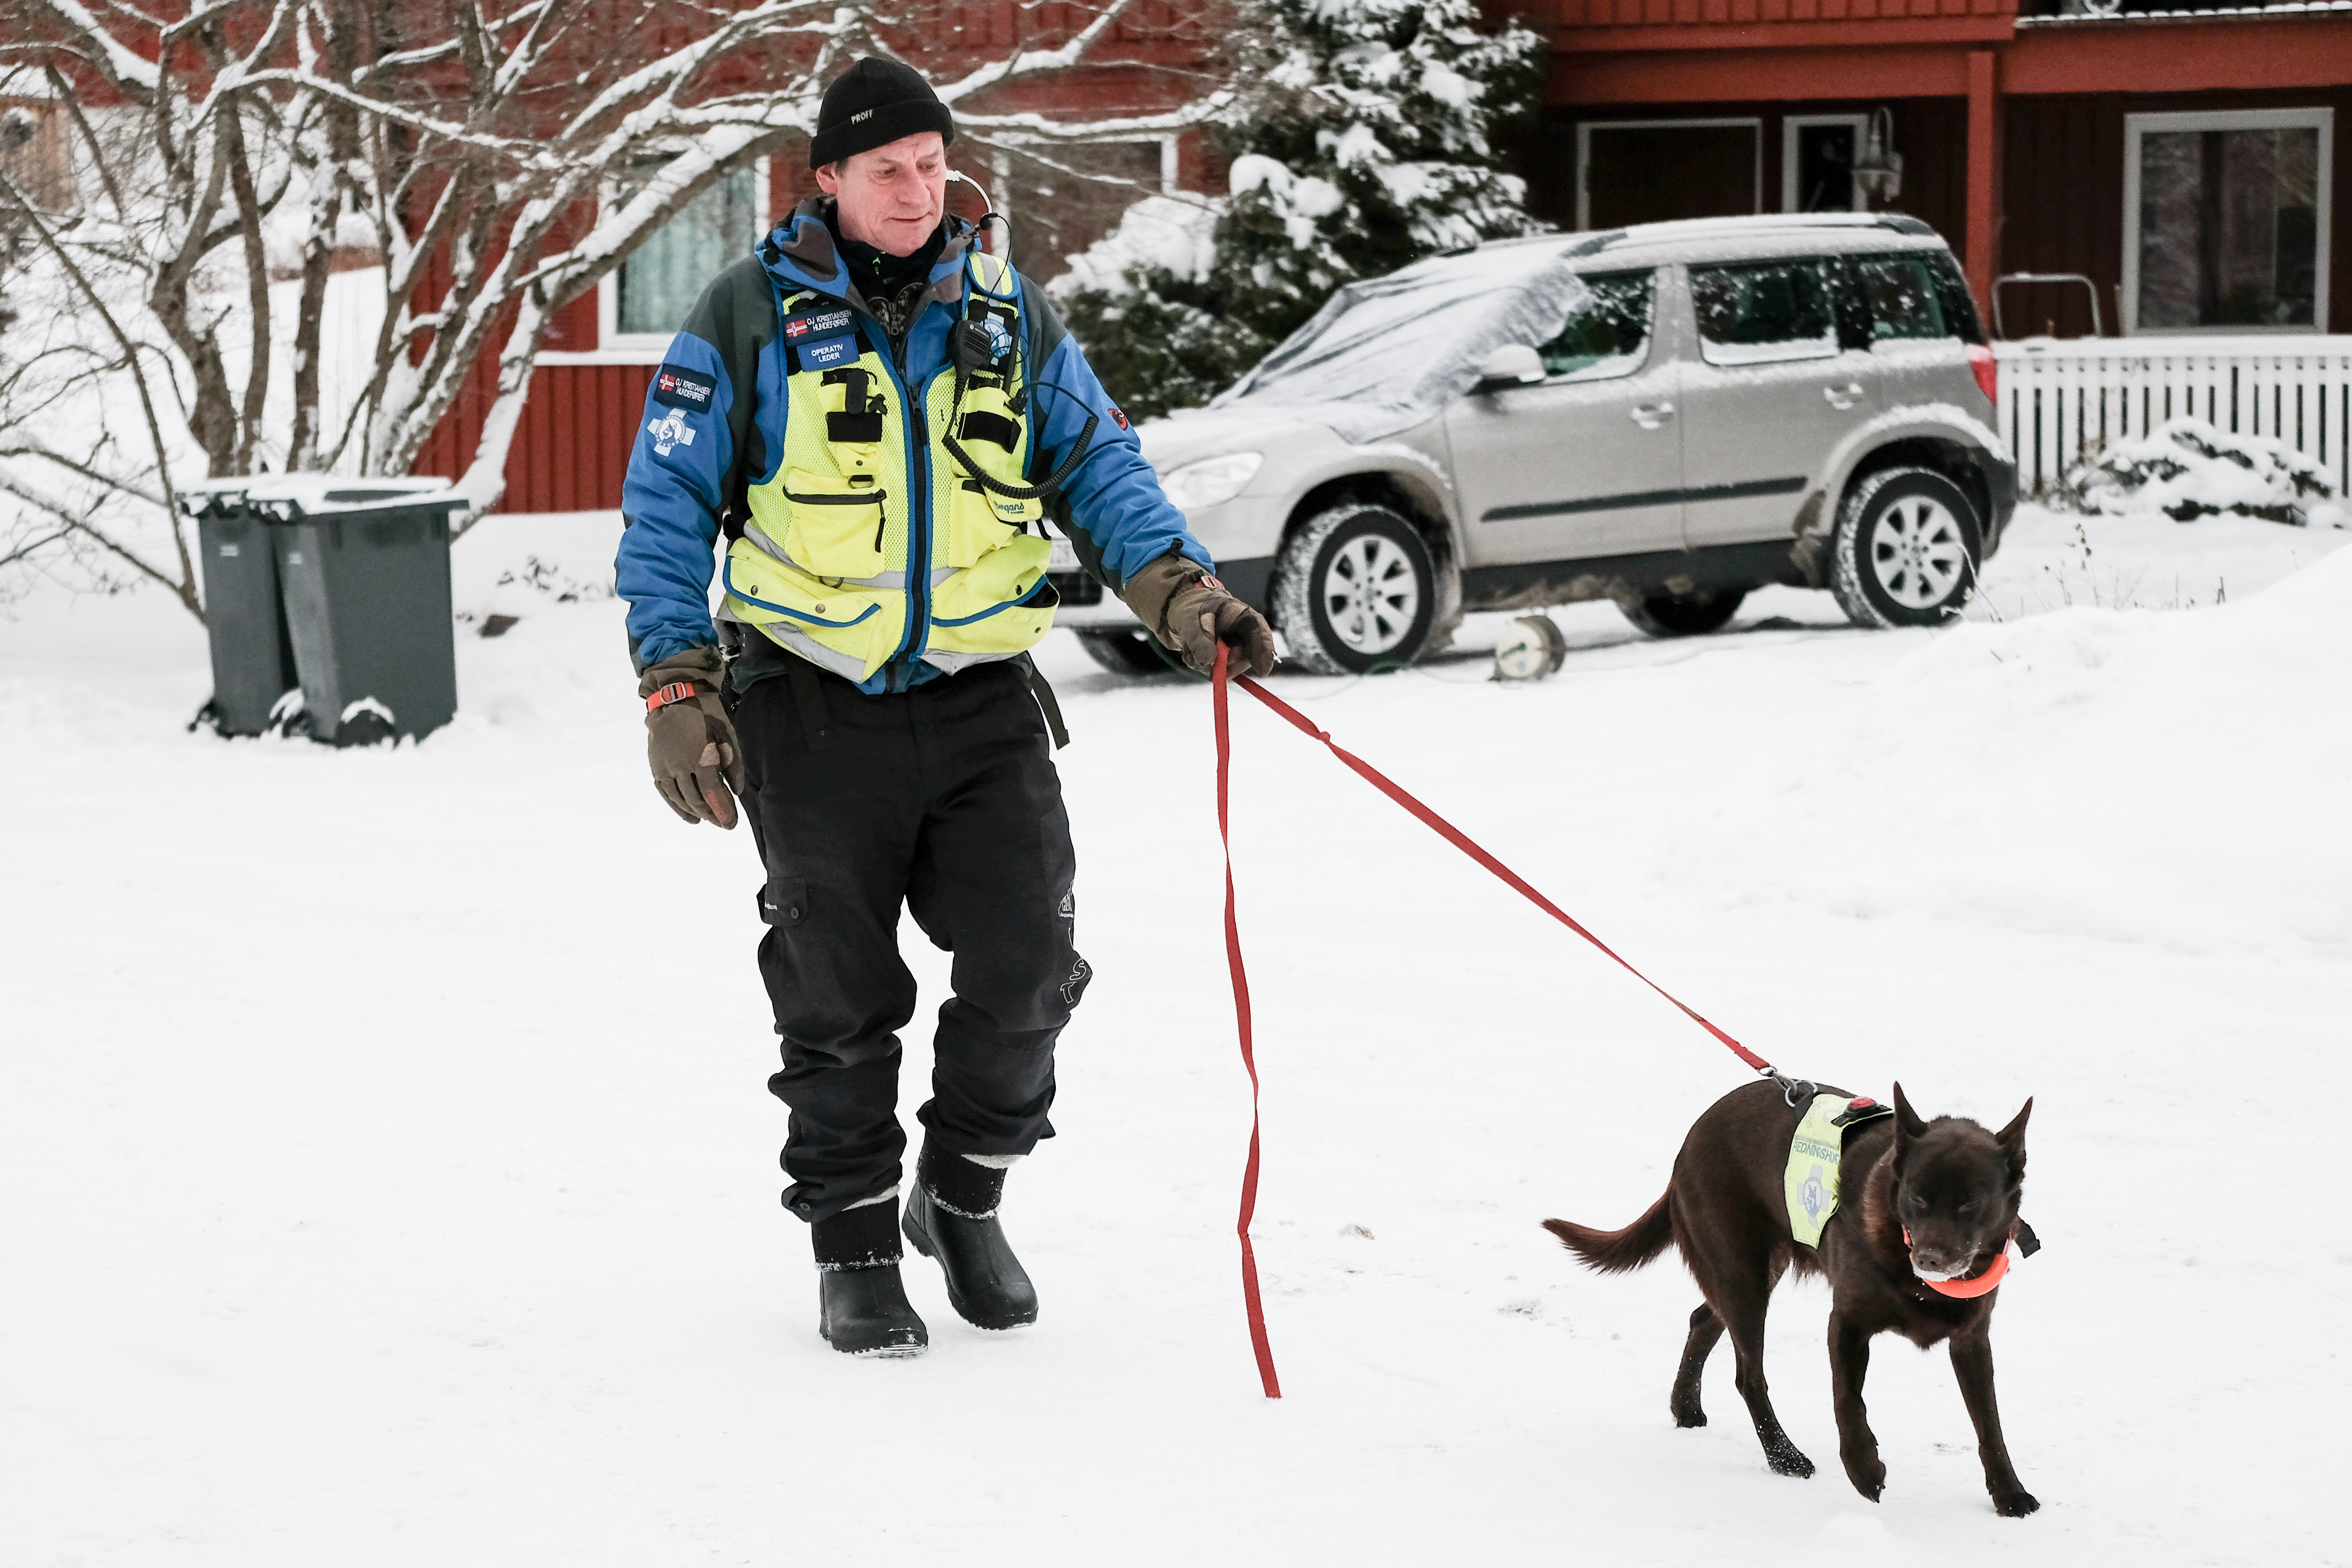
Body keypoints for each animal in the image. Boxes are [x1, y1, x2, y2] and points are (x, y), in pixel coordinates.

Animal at [1543, 1086, 2041, 1514]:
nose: (1930, 1259)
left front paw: (2010, 1494)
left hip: (1752, 1272)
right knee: (1749, 1376)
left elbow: (1990, 1423)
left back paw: (1686, 1407)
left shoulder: (1972, 1339)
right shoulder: (1847, 1322)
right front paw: (1865, 1471)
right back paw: (1784, 1457)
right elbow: (1847, 1401)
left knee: (1702, 1319)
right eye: (1917, 1196)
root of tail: (1692, 1137)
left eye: (1970, 1202)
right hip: (1742, 1274)